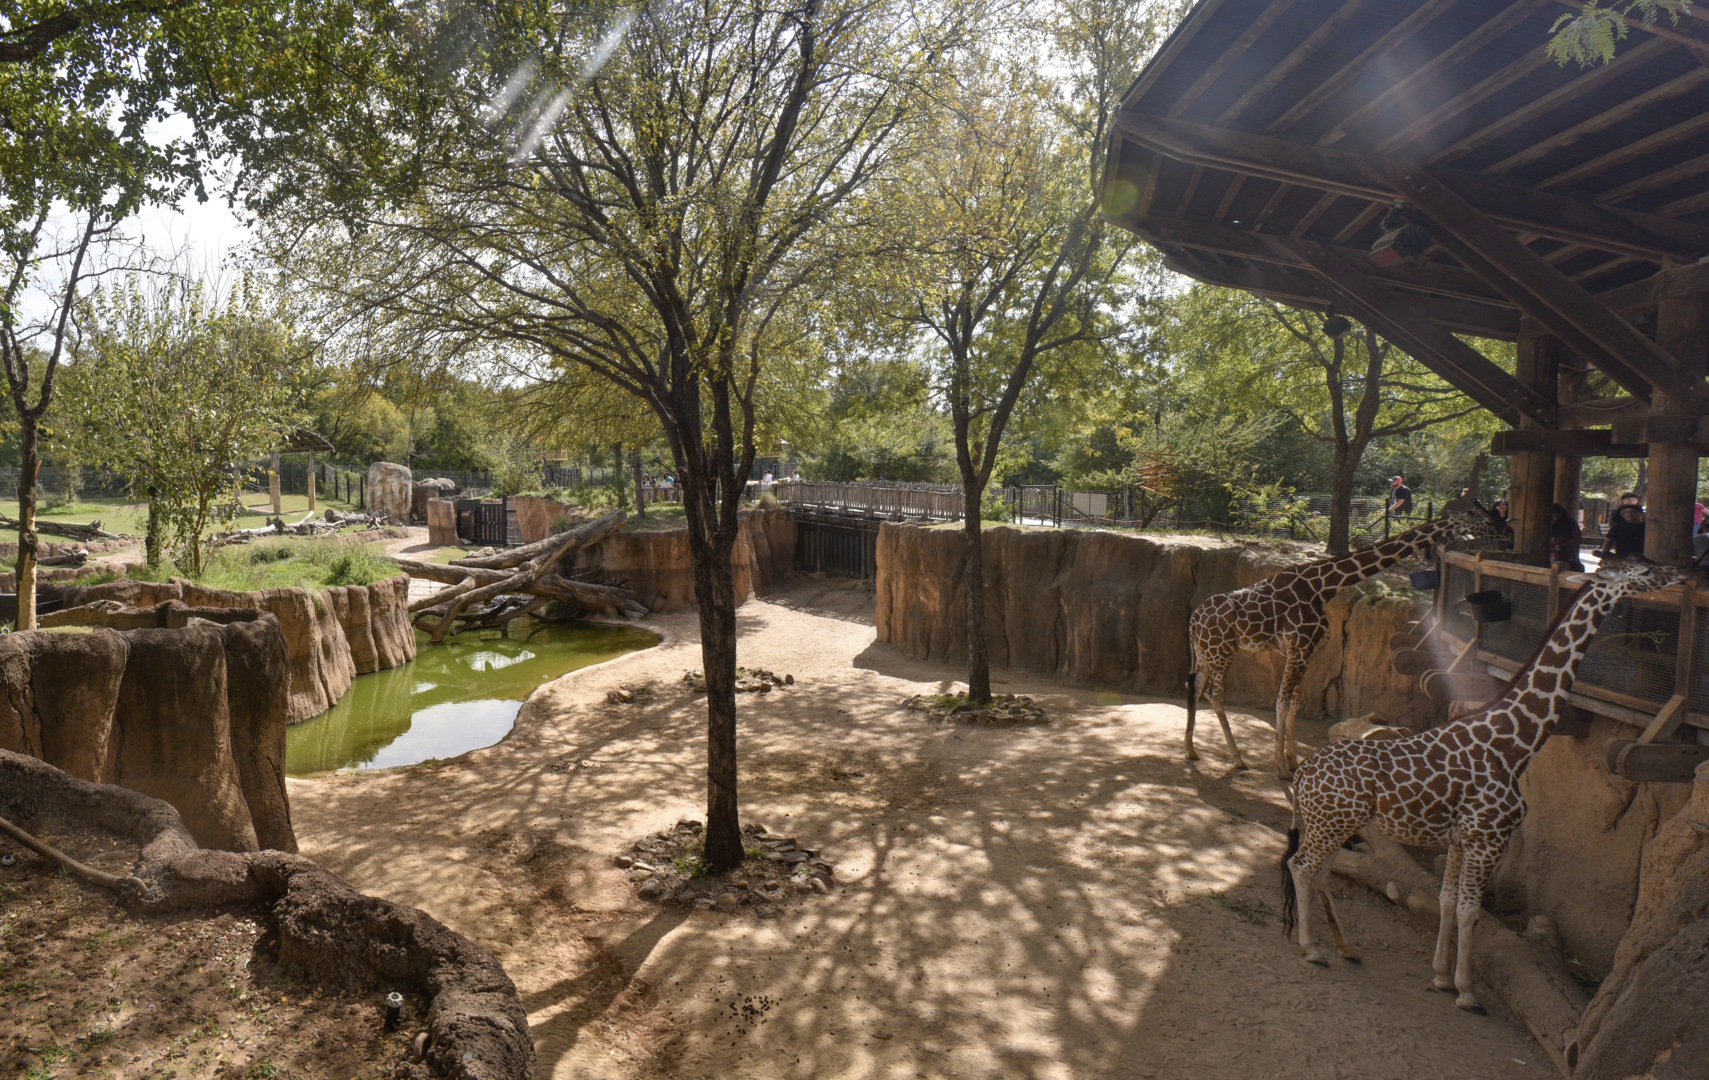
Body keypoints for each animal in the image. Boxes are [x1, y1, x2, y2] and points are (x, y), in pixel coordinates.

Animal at [1186, 509, 1506, 778]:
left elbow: (1293, 703)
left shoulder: (1303, 651)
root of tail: (1194, 620)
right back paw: (1237, 758)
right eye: (1487, 520)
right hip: (1222, 651)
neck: (1322, 586)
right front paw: (1281, 766)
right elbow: (1282, 702)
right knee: (1214, 694)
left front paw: (1292, 760)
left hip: (1204, 653)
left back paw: (1190, 751)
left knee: (1196, 687)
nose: (1507, 534)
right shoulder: (1300, 647)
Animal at [1280, 559, 1688, 1013]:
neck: (1514, 744)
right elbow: (1469, 911)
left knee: (1320, 871)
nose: (1680, 573)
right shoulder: (1488, 838)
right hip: (1332, 823)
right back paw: (1312, 949)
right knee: (1301, 865)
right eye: (1641, 571)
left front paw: (1441, 977)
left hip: (1335, 823)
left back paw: (1347, 948)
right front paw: (1468, 992)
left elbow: (1446, 899)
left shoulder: (1461, 839)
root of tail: (1302, 772)